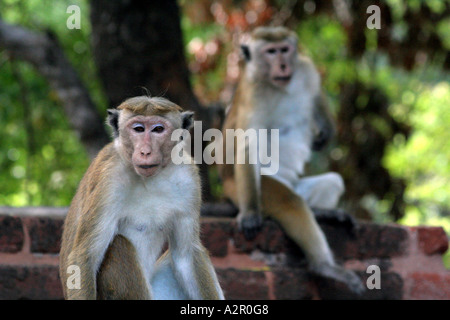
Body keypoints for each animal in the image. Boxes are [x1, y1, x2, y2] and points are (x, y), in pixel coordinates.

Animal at [60, 95, 224, 300]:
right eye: (138, 129)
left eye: (158, 129)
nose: (145, 151)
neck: (149, 179)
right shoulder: (108, 179)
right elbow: (84, 257)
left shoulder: (189, 179)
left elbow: (186, 255)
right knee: (119, 244)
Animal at [220, 26, 364, 294]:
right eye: (271, 52)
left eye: (284, 49)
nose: (284, 65)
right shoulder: (252, 94)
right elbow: (248, 146)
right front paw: (251, 214)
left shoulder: (305, 68)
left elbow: (316, 94)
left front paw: (325, 131)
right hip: (247, 187)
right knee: (290, 201)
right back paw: (324, 266)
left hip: (298, 184)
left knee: (332, 182)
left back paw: (320, 213)